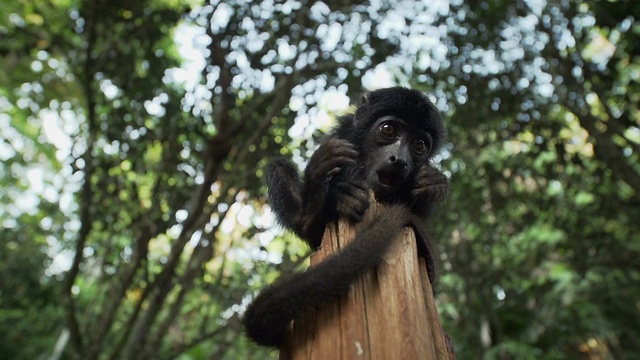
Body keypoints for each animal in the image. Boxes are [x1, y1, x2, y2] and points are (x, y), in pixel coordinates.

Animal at [242, 86, 448, 346]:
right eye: (388, 130)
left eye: (419, 145)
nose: (400, 160)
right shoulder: (345, 136)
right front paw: (338, 191)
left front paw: (432, 182)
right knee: (279, 168)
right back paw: (312, 212)